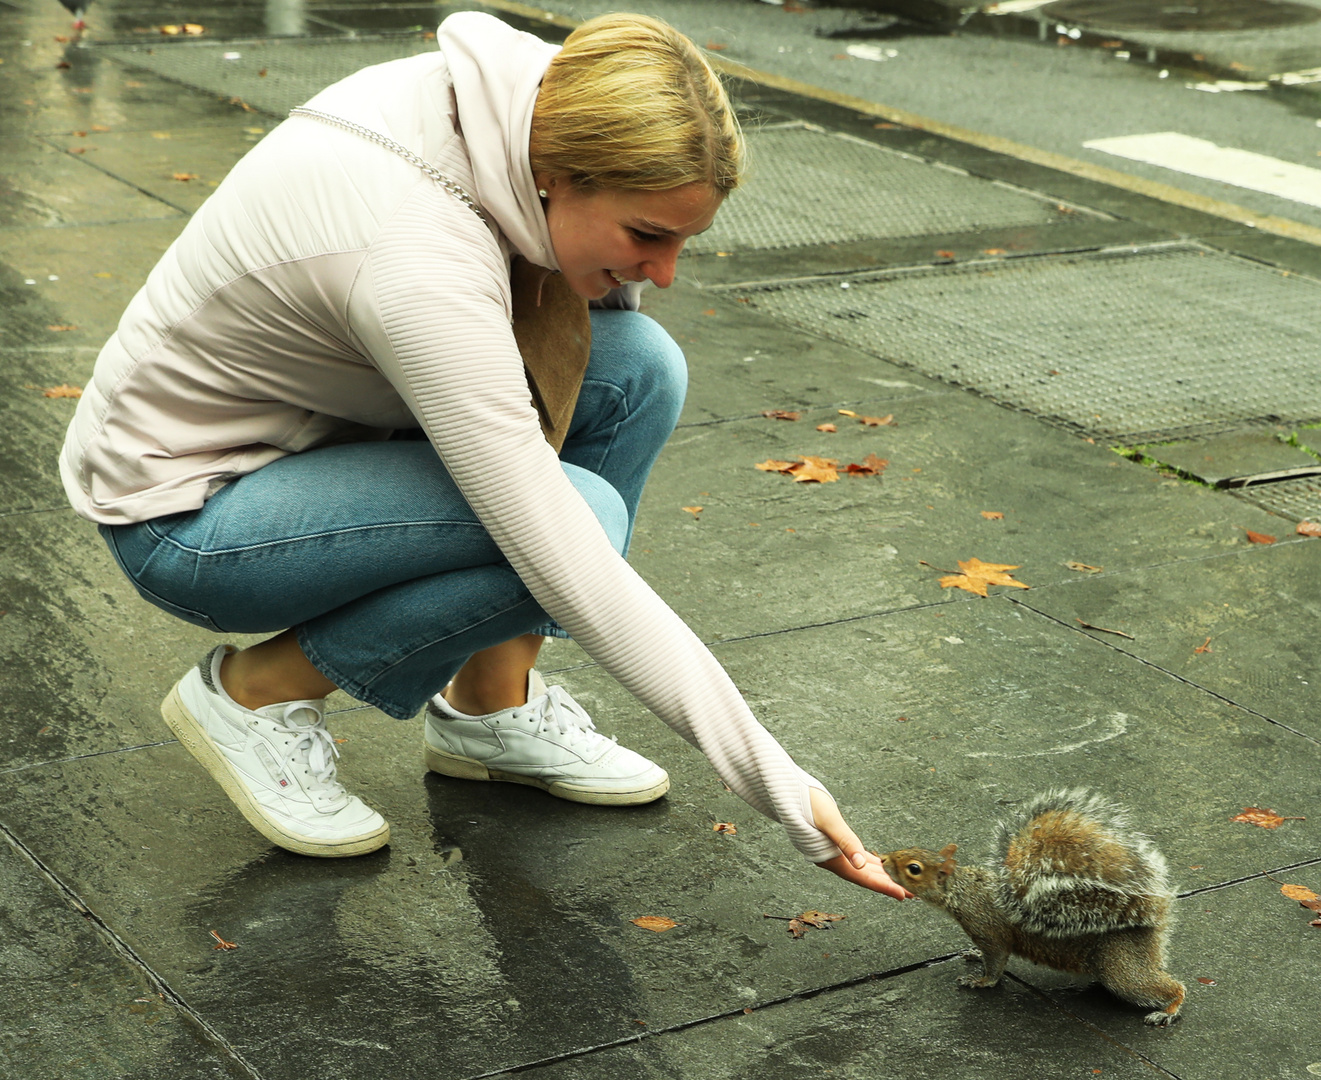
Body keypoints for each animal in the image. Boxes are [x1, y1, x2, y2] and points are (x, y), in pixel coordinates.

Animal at [882, 786, 1183, 1024]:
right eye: (912, 847)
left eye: (914, 868)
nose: (883, 858)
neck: (963, 891)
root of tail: (1151, 923)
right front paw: (974, 954)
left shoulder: (987, 929)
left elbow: (996, 960)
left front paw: (980, 981)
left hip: (1120, 965)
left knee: (1163, 985)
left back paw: (1169, 1009)